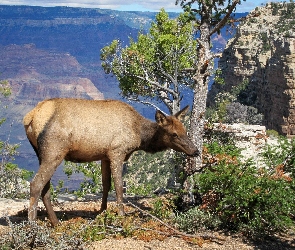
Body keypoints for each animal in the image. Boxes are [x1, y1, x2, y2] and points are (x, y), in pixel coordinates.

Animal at [23, 98, 199, 226]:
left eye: (185, 130)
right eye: (174, 134)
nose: (195, 151)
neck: (139, 136)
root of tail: (30, 118)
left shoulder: (104, 155)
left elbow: (106, 184)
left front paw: (102, 211)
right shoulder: (117, 151)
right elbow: (119, 186)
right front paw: (121, 214)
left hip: (41, 153)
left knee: (45, 187)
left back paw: (56, 222)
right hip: (54, 150)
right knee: (36, 184)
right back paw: (32, 225)